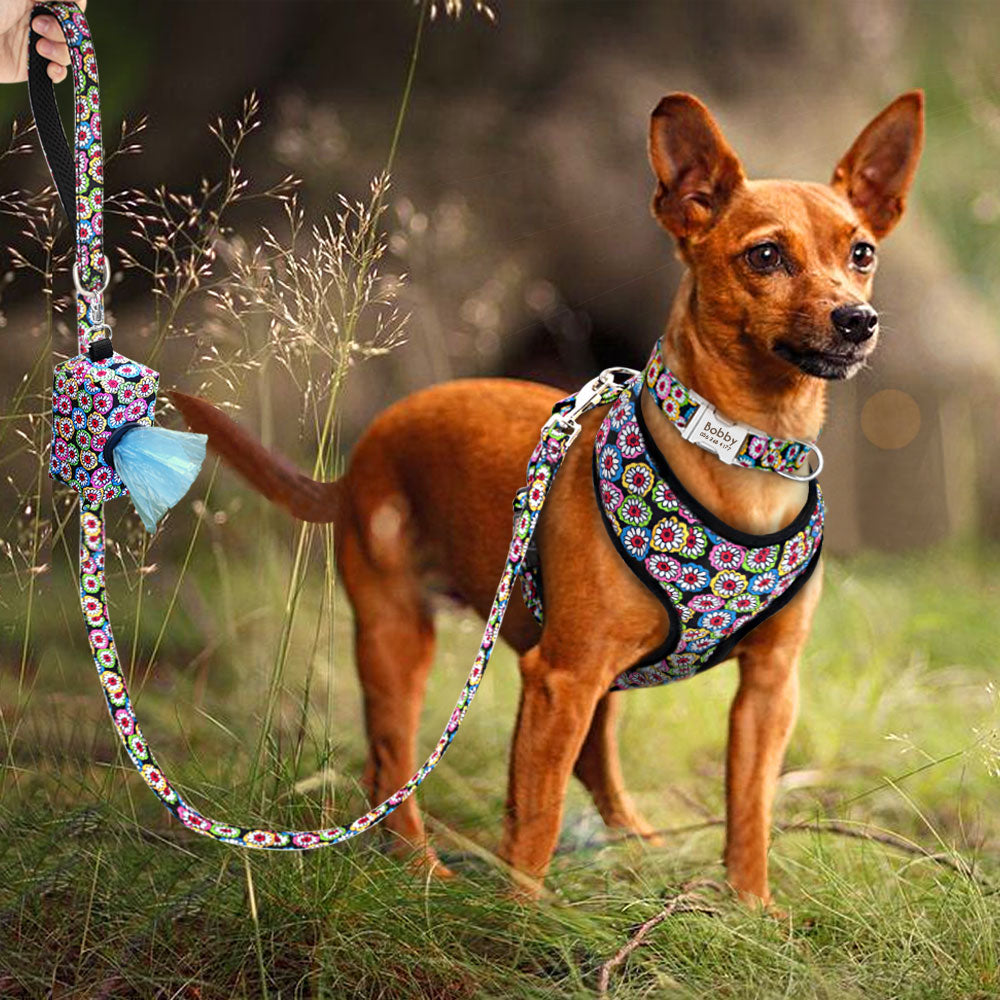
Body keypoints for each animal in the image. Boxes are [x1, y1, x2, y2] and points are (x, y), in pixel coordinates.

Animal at [170, 94, 920, 908]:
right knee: (394, 763)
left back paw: (640, 846)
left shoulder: (767, 691)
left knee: (586, 762)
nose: (857, 320)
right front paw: (520, 918)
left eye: (862, 254)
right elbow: (536, 817)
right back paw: (425, 868)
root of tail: (364, 451)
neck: (743, 454)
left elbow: (748, 811)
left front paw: (752, 910)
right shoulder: (559, 680)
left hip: (593, 674)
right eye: (765, 256)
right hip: (400, 636)